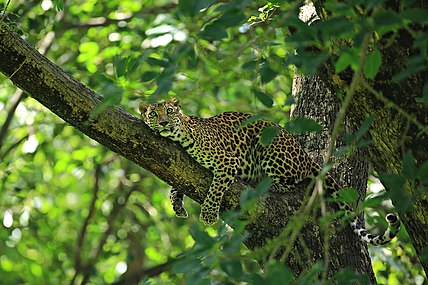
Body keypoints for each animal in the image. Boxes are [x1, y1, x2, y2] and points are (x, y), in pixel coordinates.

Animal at [140, 97, 402, 244]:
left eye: (169, 112)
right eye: (153, 113)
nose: (163, 122)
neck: (179, 136)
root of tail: (305, 155)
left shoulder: (228, 163)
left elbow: (215, 190)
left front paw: (208, 215)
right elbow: (176, 185)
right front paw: (177, 203)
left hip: (270, 146)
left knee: (292, 180)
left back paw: (272, 185)